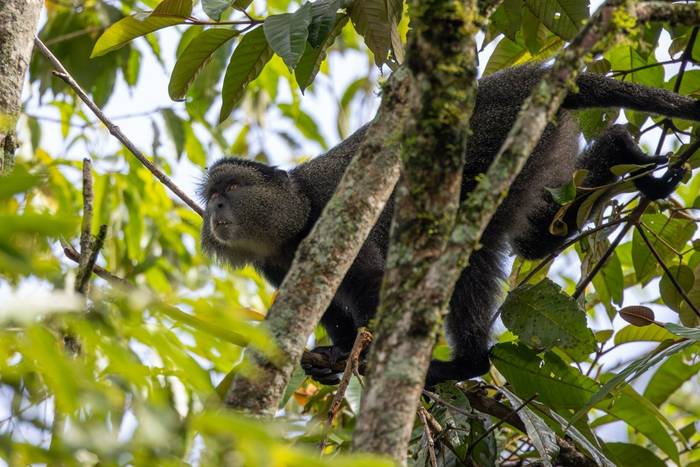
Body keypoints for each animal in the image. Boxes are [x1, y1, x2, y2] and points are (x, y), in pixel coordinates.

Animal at [199, 63, 694, 386]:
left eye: (232, 188)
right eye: (212, 196)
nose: (217, 209)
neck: (294, 213)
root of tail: (520, 80)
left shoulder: (332, 215)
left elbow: (371, 282)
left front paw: (362, 353)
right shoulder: (277, 263)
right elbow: (328, 308)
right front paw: (334, 355)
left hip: (496, 139)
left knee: (472, 248)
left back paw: (466, 365)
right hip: (544, 145)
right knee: (536, 238)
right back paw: (622, 149)